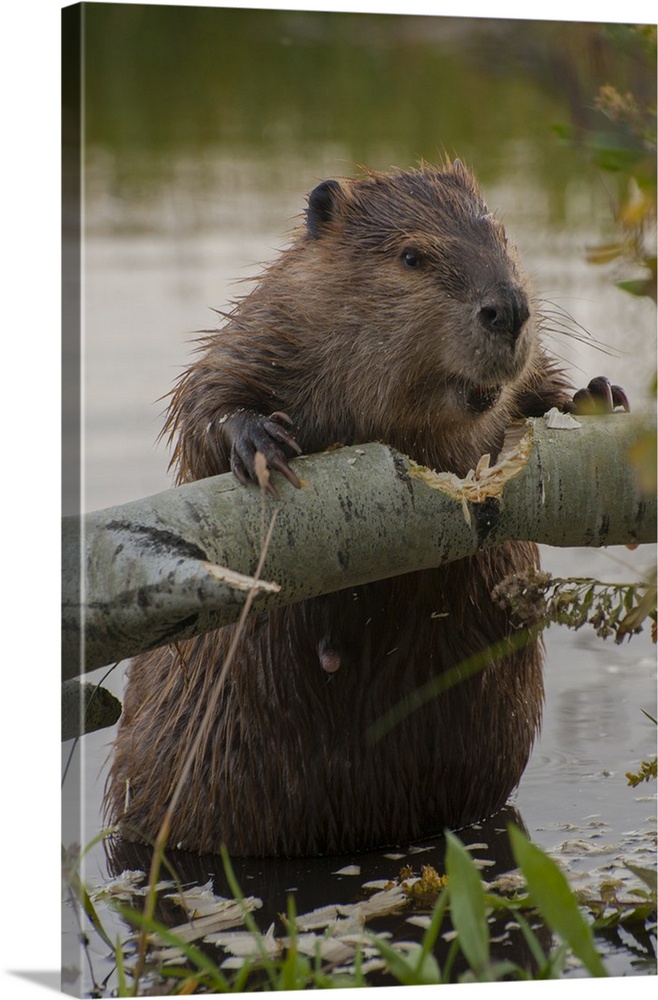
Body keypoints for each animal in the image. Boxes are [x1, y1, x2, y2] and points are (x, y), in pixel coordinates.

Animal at [105, 160, 624, 856]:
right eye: (411, 255)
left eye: (501, 232)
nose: (509, 308)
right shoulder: (269, 325)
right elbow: (206, 400)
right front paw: (259, 440)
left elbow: (538, 384)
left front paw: (597, 394)